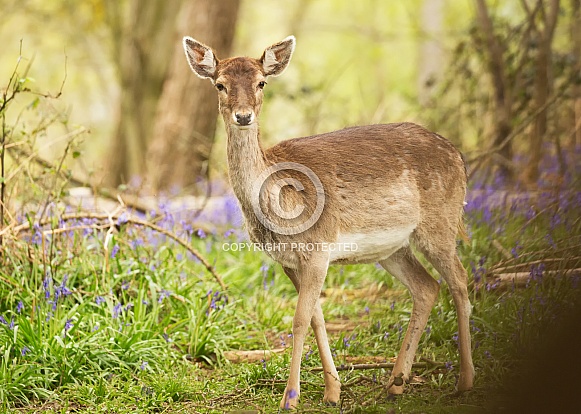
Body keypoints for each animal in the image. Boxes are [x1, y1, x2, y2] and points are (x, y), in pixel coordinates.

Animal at [182, 34, 476, 410]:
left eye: (262, 82)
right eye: (220, 84)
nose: (243, 116)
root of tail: (459, 157)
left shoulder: (318, 248)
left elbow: (298, 320)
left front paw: (290, 398)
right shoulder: (289, 261)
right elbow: (316, 317)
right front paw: (332, 391)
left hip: (440, 223)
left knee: (460, 281)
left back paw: (464, 380)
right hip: (392, 249)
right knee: (427, 287)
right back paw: (396, 382)